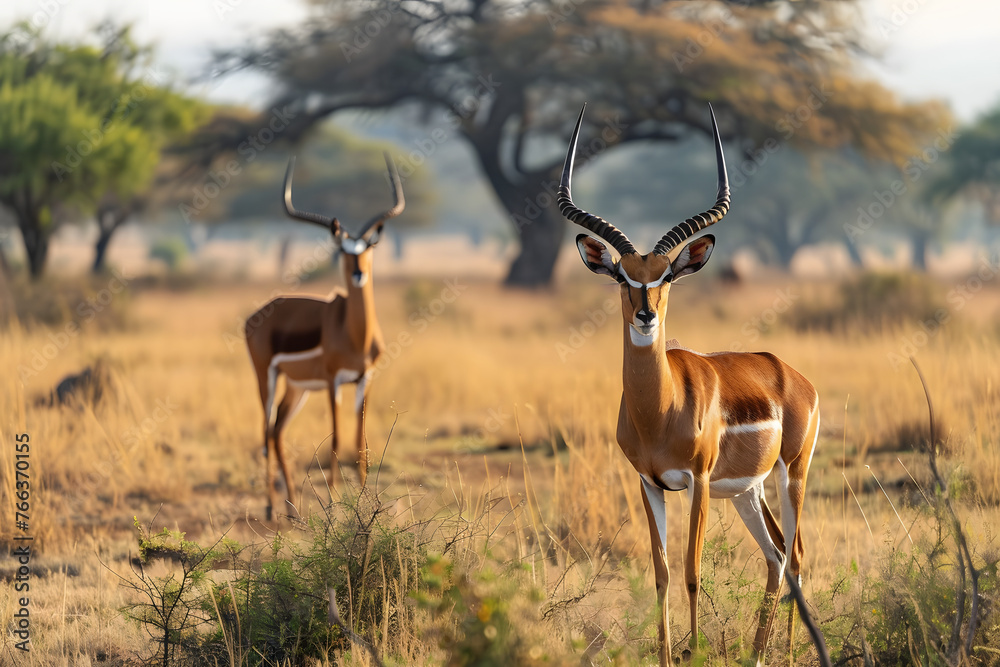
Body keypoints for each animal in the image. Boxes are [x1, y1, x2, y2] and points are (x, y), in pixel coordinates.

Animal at [245, 154, 403, 520]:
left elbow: (359, 441)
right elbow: (335, 439)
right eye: (343, 250)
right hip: (266, 378)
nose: (358, 273)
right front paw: (333, 504)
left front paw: (364, 501)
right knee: (265, 431)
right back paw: (271, 507)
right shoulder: (333, 381)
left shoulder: (364, 379)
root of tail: (257, 315)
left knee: (277, 431)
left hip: (297, 387)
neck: (355, 335)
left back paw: (292, 508)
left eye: (367, 248)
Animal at [558, 105, 820, 666]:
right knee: (776, 554)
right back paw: (757, 653)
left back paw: (787, 652)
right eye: (623, 277)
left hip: (792, 472)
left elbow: (693, 573)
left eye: (666, 277)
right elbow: (660, 573)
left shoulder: (697, 481)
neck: (660, 410)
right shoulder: (648, 482)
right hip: (748, 490)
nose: (645, 316)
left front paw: (694, 650)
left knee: (797, 552)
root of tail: (792, 374)